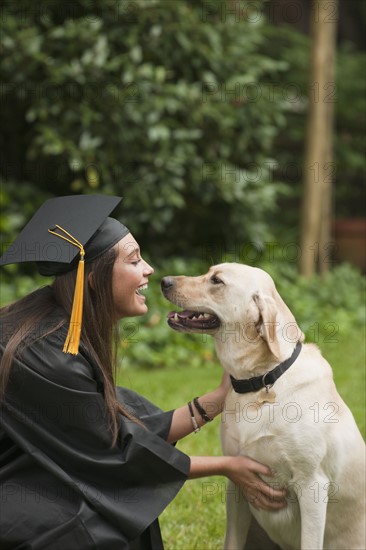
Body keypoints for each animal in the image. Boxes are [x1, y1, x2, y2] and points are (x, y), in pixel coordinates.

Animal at [162, 264, 364, 550]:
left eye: (216, 280)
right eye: (209, 272)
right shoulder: (237, 484)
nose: (163, 281)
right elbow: (231, 542)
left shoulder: (312, 486)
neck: (261, 381)